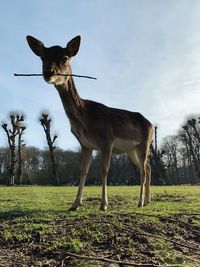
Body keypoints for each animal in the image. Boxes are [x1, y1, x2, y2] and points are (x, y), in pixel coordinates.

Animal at [26, 35, 154, 211]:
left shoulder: (107, 140)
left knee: (143, 170)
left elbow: (104, 170)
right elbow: (83, 171)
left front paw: (104, 205)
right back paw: (147, 200)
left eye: (65, 57)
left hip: (144, 144)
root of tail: (152, 125)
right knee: (147, 167)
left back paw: (140, 202)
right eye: (42, 58)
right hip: (131, 150)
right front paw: (75, 204)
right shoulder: (86, 145)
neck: (84, 120)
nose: (48, 72)